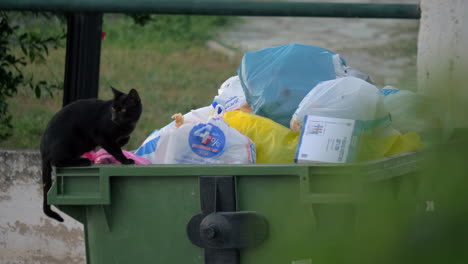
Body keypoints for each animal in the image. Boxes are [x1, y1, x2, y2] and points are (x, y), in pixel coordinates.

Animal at [39, 86, 143, 221]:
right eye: (114, 109)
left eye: (123, 109)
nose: (113, 118)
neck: (125, 126)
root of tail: (43, 149)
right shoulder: (101, 135)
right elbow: (115, 149)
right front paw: (126, 160)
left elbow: (125, 139)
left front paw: (122, 141)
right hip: (72, 142)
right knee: (57, 162)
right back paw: (84, 161)